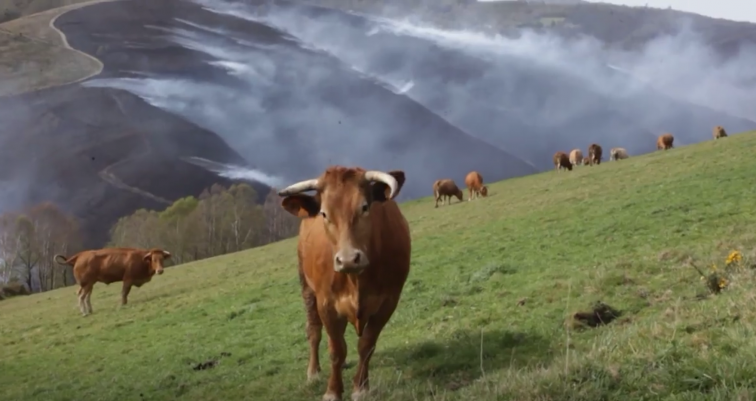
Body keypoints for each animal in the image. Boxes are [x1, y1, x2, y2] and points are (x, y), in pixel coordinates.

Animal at [276, 165, 410, 400]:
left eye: (364, 207)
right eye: (324, 213)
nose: (347, 259)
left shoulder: (388, 302)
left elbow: (366, 344)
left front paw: (361, 387)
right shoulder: (326, 304)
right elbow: (336, 350)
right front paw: (332, 391)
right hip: (307, 289)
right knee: (314, 331)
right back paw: (313, 372)